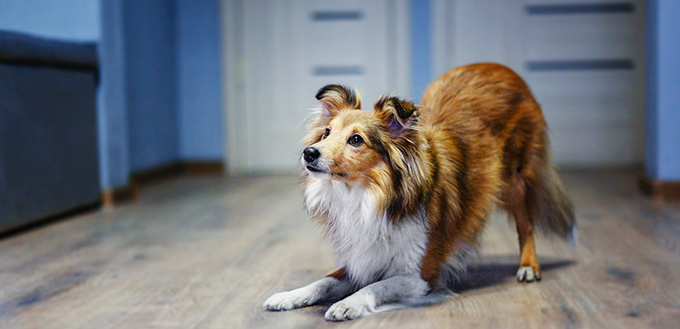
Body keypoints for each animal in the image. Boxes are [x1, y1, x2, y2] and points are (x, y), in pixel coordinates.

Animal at [262, 62, 576, 320]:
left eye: (356, 140)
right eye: (326, 132)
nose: (309, 153)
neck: (368, 197)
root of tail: (502, 68)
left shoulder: (420, 274)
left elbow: (377, 286)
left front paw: (347, 304)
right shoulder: (362, 258)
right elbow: (324, 281)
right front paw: (288, 296)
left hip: (514, 178)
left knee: (526, 223)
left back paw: (529, 267)